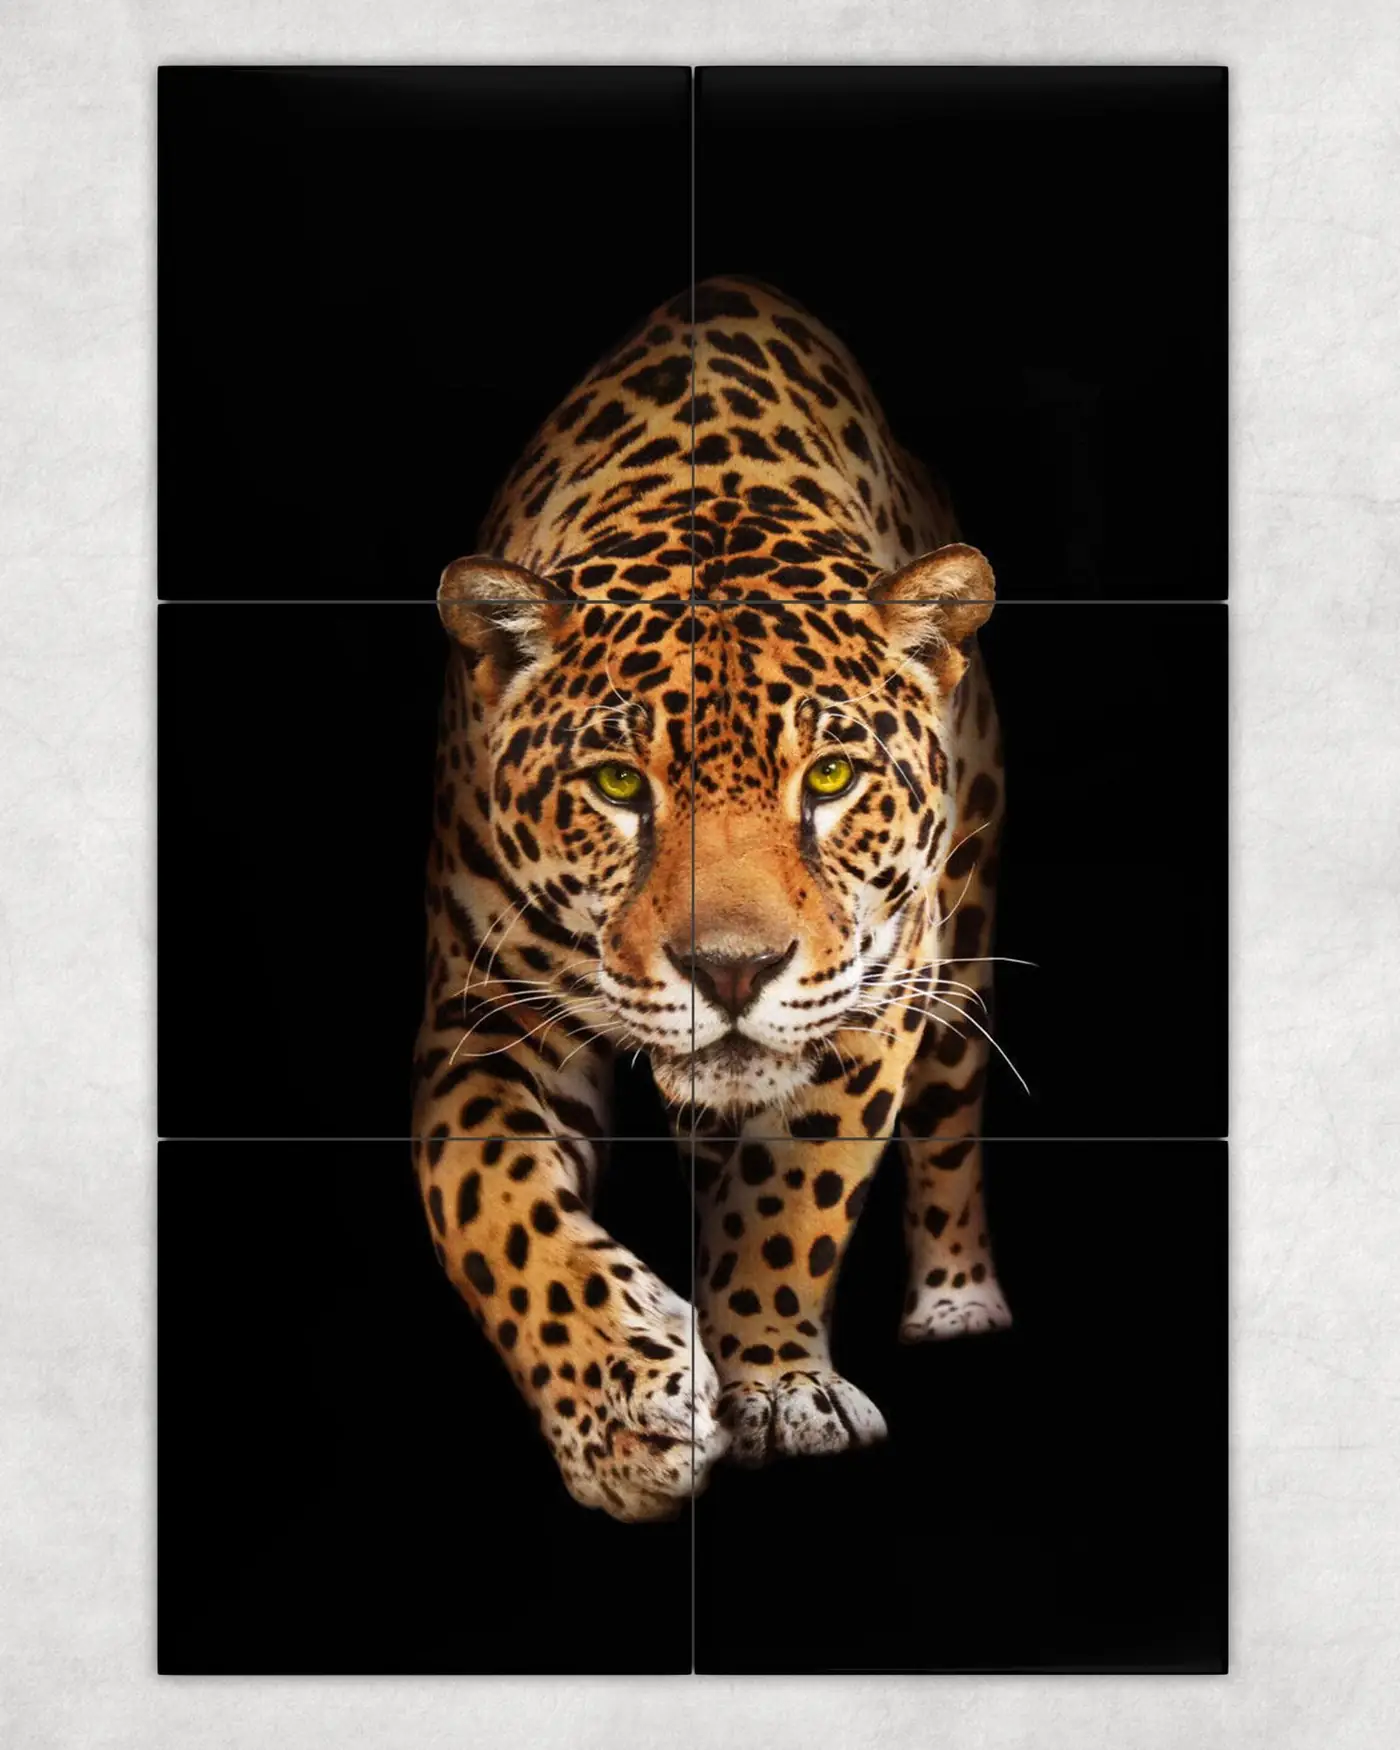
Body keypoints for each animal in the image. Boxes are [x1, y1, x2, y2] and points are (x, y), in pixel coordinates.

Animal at [411, 276, 1010, 1523]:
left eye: (827, 779)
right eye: (614, 785)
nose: (729, 972)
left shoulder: (880, 985)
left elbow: (796, 1190)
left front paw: (777, 1383)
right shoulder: (483, 1014)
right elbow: (489, 1202)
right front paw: (624, 1411)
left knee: (946, 1119)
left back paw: (956, 1300)